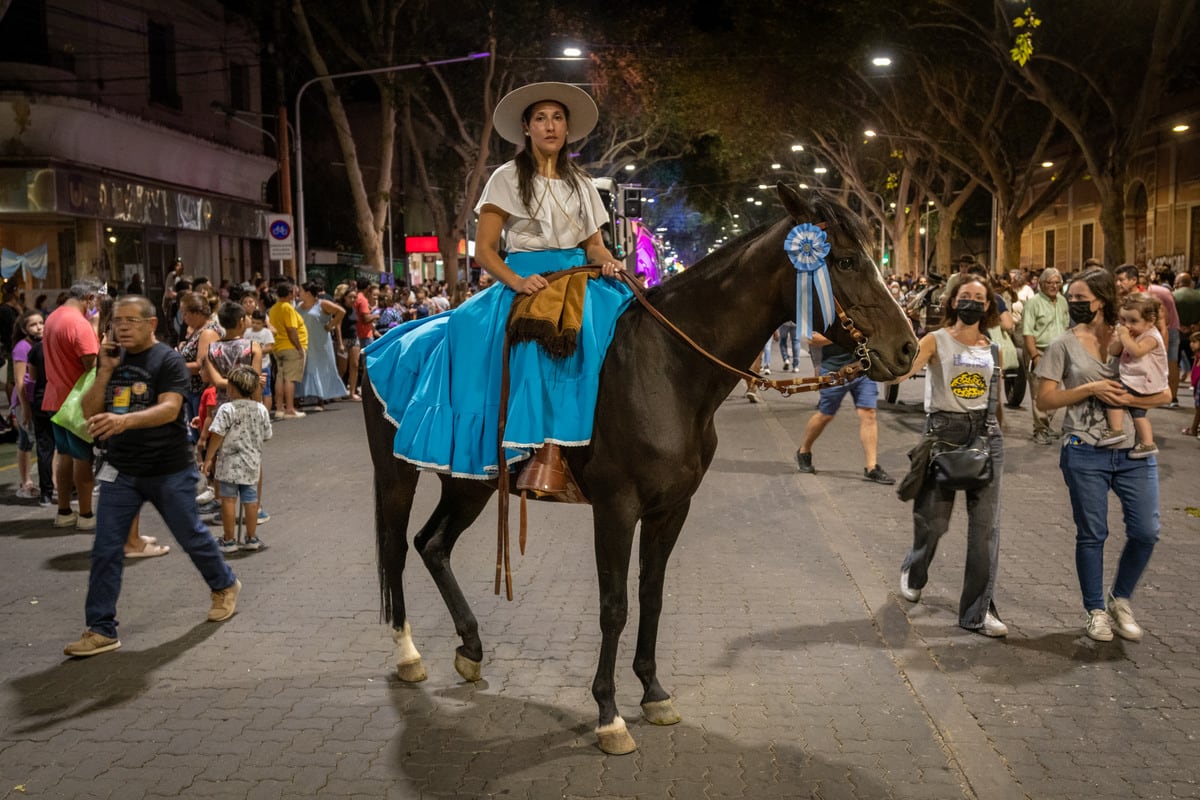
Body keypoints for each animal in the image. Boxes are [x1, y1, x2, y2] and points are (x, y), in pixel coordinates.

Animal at [360, 184, 912, 753]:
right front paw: (609, 713)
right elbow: (615, 605)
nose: (908, 348)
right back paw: (409, 655)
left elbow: (652, 595)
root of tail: (380, 341)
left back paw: (470, 649)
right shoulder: (616, 508)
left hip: (470, 482)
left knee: (433, 544)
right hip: (400, 476)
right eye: (845, 261)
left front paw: (652, 692)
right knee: (397, 550)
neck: (668, 367)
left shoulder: (671, 508)